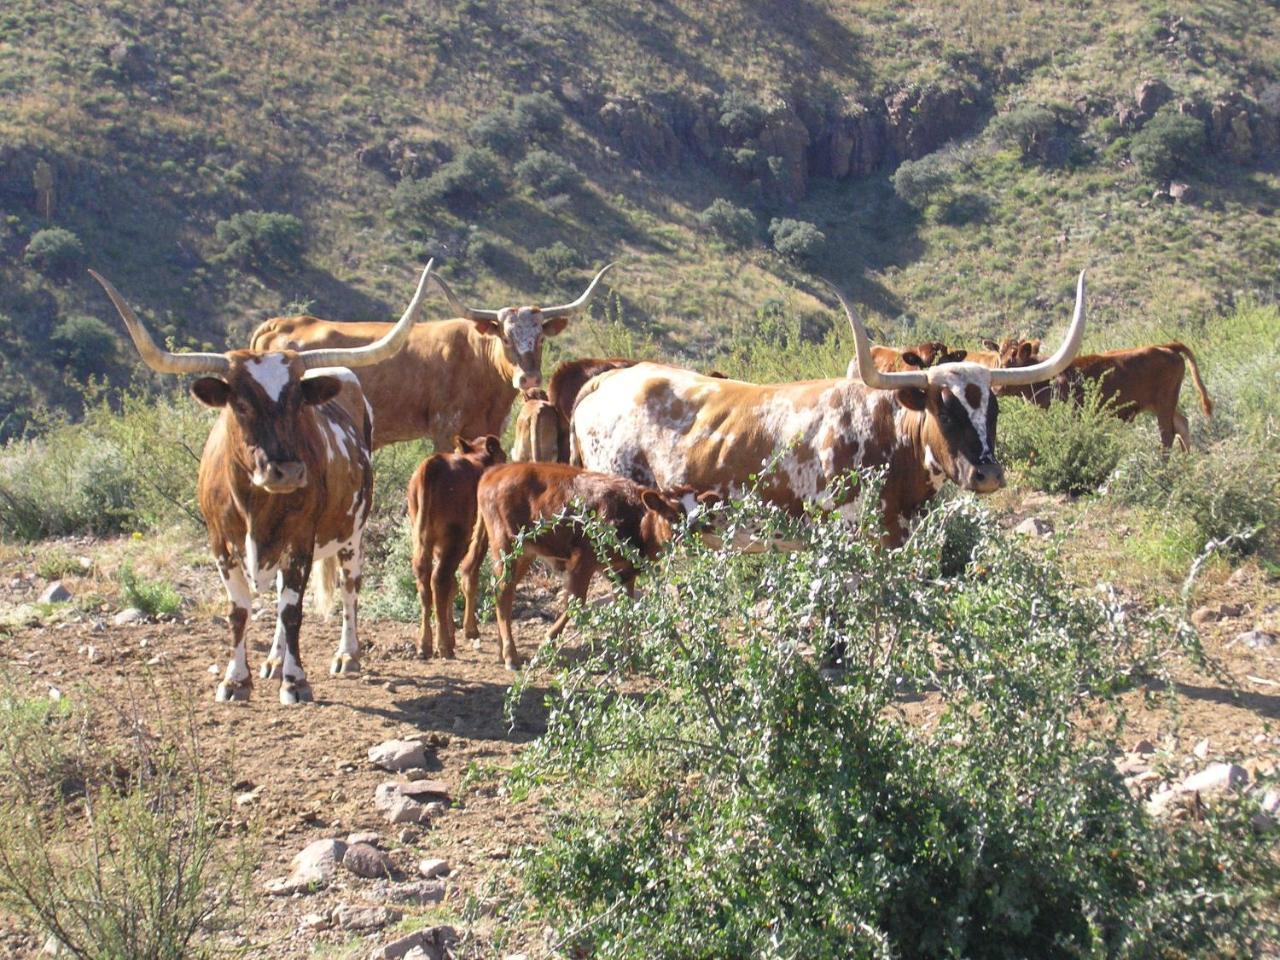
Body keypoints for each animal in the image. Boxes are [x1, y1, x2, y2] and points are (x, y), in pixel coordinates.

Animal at [90, 263, 437, 706]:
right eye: (240, 404)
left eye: (298, 402)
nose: (286, 472)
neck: (256, 505)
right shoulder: (220, 543)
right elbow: (240, 610)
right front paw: (236, 680)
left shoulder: (301, 541)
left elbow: (293, 609)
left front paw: (296, 680)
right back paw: (273, 659)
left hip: (352, 533)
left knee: (348, 587)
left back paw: (347, 654)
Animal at [409, 435, 509, 660]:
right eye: (503, 455)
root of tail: (434, 463)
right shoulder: (481, 532)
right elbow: (469, 572)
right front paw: (469, 630)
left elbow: (454, 584)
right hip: (456, 538)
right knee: (439, 579)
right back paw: (443, 646)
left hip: (423, 539)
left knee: (425, 578)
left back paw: (425, 644)